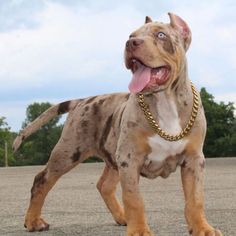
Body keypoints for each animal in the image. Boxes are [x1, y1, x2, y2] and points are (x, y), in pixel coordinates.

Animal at [13, 12, 222, 236]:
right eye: (131, 35)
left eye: (161, 35)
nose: (131, 43)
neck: (164, 100)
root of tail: (82, 101)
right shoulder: (130, 159)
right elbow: (134, 198)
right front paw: (139, 230)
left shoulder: (193, 160)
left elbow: (195, 198)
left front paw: (202, 228)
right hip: (69, 152)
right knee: (42, 180)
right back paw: (33, 221)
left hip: (112, 156)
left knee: (104, 185)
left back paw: (123, 217)